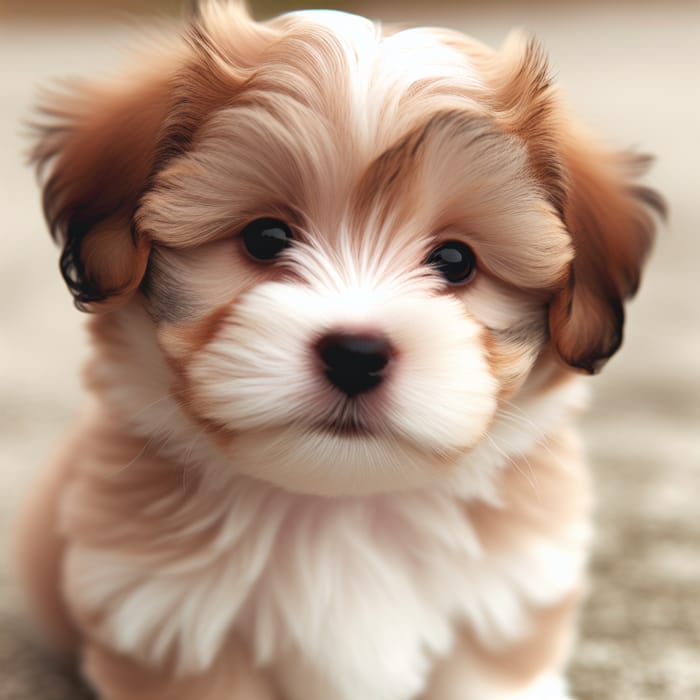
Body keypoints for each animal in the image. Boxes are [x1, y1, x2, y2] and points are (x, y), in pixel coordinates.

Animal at [15, 2, 660, 696]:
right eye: (266, 238)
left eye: (455, 261)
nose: (355, 352)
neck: (339, 510)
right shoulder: (174, 627)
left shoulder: (497, 617)